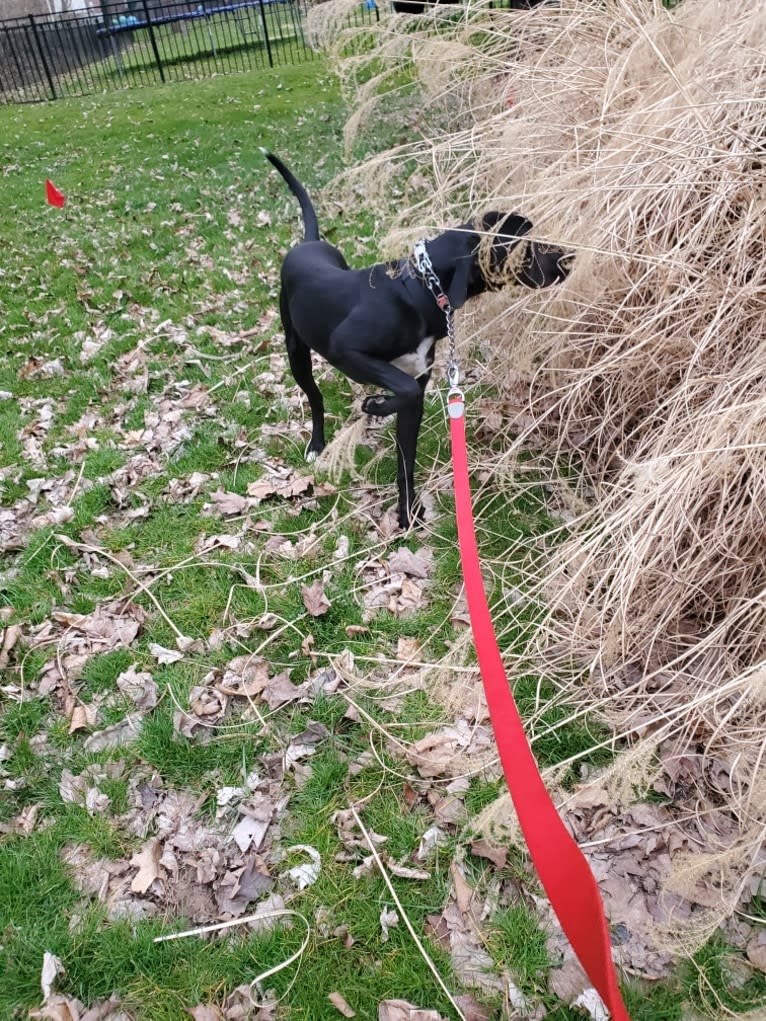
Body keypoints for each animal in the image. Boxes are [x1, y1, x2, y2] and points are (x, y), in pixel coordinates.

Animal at [263, 155, 571, 530]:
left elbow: (406, 455)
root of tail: (307, 244)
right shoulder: (346, 349)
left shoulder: (417, 391)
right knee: (316, 397)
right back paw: (317, 443)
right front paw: (376, 405)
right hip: (297, 352)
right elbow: (404, 389)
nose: (568, 259)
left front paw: (407, 512)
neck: (419, 290)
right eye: (524, 246)